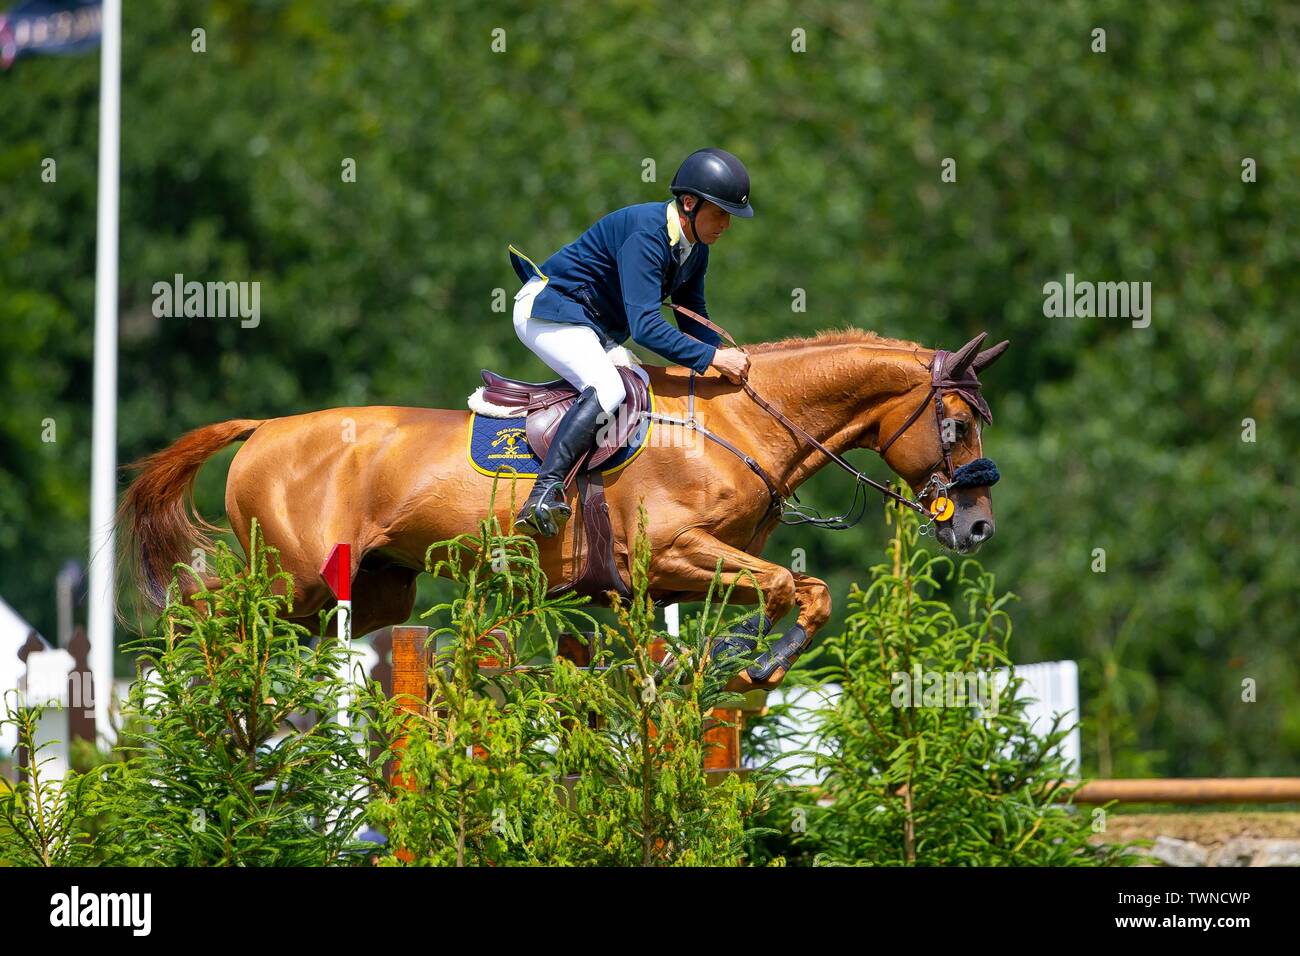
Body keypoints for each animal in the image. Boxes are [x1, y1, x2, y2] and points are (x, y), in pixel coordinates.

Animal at [116, 329, 1008, 686]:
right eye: (955, 425)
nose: (977, 528)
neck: (740, 425)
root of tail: (264, 428)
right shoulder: (676, 553)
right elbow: (800, 589)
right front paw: (748, 660)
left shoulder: (675, 579)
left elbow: (793, 595)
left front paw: (740, 661)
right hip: (296, 575)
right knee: (204, 619)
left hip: (370, 590)